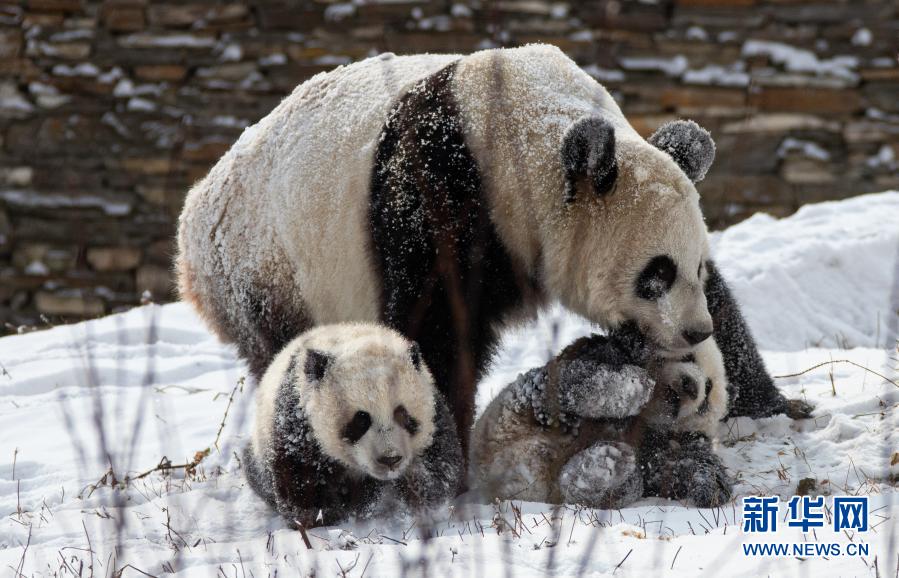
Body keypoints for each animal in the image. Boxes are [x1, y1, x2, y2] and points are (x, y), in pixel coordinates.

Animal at [179, 44, 812, 454]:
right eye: (654, 274)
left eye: (695, 268)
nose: (694, 333)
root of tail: (193, 217)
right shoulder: (436, 201)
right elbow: (434, 335)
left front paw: (771, 406)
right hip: (266, 270)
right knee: (284, 355)